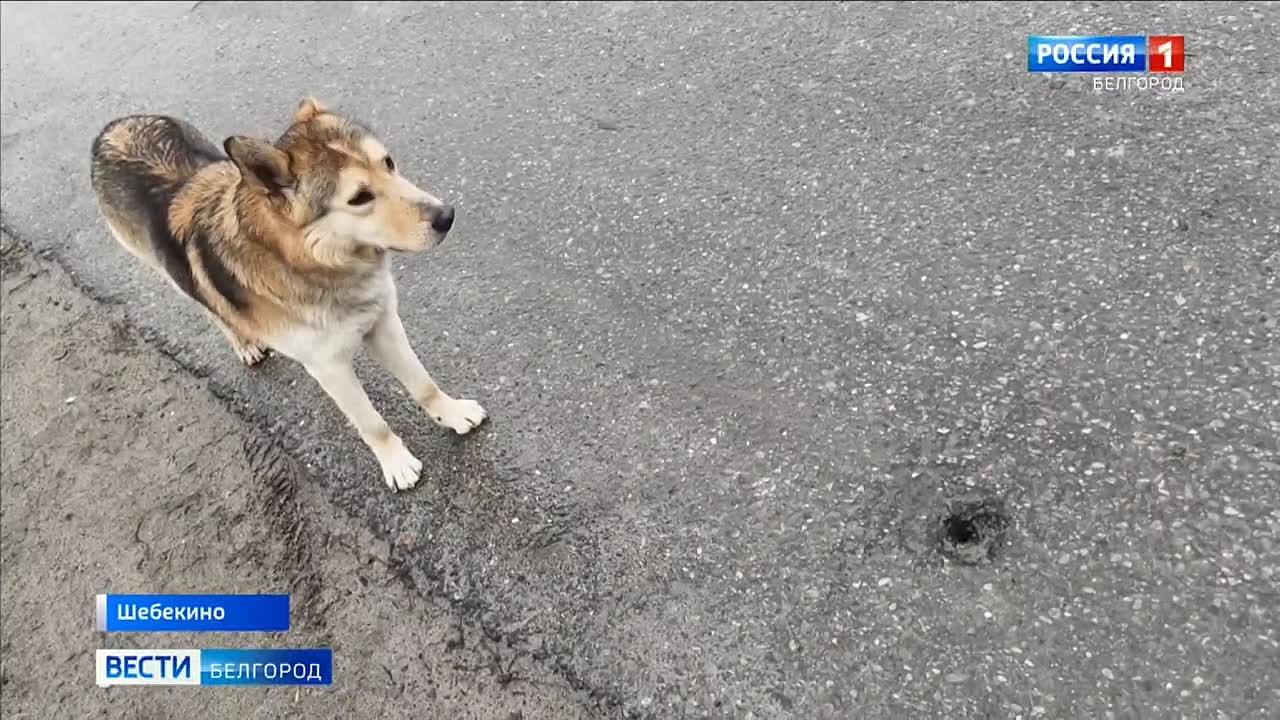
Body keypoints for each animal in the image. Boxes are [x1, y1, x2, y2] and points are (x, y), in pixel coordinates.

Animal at [90, 98, 486, 489]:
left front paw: (451, 413)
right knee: (209, 306)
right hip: (164, 269)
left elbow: (423, 384)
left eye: (387, 162)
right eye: (359, 198)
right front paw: (395, 461)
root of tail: (113, 127)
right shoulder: (328, 366)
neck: (307, 261)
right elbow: (372, 423)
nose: (446, 216)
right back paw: (242, 342)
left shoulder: (383, 323)